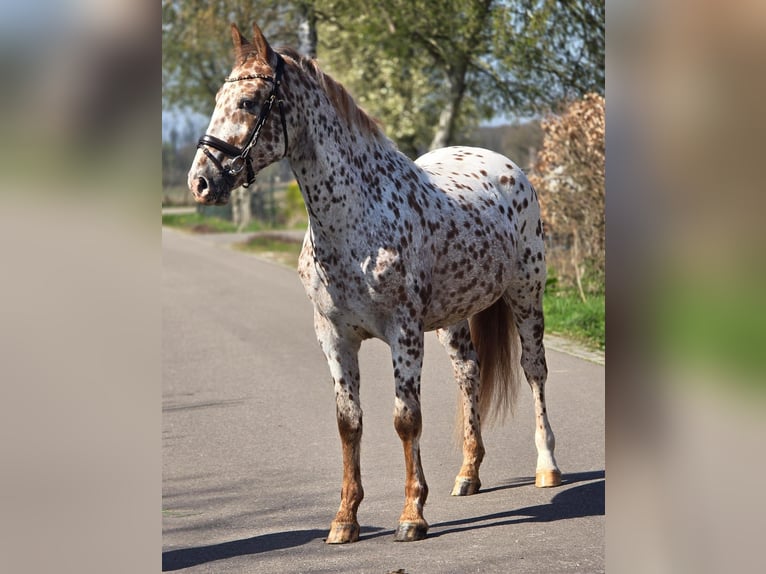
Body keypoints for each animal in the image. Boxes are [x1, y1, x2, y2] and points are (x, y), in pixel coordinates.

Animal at [187, 22, 561, 544]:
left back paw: (547, 467)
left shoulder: (403, 334)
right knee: (469, 373)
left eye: (247, 101)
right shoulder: (334, 336)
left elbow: (406, 420)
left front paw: (412, 515)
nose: (200, 182)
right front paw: (345, 519)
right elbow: (349, 423)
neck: (357, 219)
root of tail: (509, 167)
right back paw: (468, 474)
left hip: (526, 295)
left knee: (534, 371)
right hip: (455, 316)